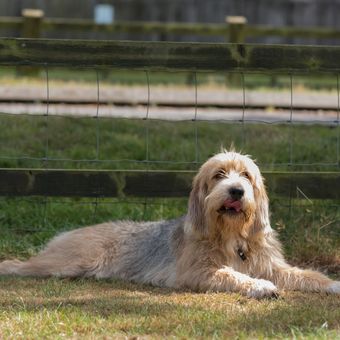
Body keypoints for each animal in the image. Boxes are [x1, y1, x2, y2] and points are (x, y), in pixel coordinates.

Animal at [0, 151, 340, 298]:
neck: (232, 234)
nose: (236, 191)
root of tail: (69, 233)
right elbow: (233, 275)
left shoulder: (272, 266)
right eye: (219, 175)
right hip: (62, 264)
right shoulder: (200, 272)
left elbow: (305, 274)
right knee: (15, 264)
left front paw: (333, 284)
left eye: (246, 175)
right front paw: (260, 286)